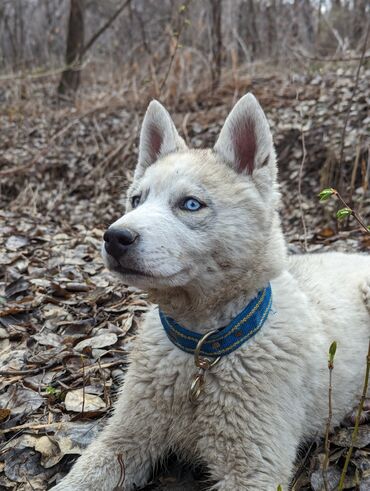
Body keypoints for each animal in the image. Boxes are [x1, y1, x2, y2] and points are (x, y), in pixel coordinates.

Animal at [52, 94, 370, 490]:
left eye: (191, 204)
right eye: (136, 200)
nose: (114, 238)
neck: (201, 352)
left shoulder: (252, 470)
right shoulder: (123, 438)